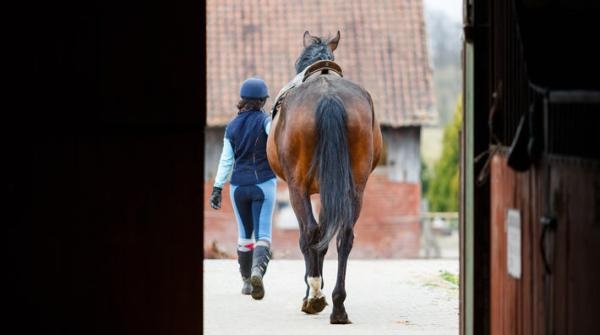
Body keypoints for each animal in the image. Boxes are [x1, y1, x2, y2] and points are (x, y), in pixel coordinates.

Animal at [268, 31, 384, 326]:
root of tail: (329, 95)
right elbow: (325, 235)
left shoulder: (304, 189)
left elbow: (312, 236)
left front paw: (311, 292)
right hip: (355, 188)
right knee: (344, 236)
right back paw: (338, 306)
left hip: (297, 188)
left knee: (309, 232)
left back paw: (315, 296)